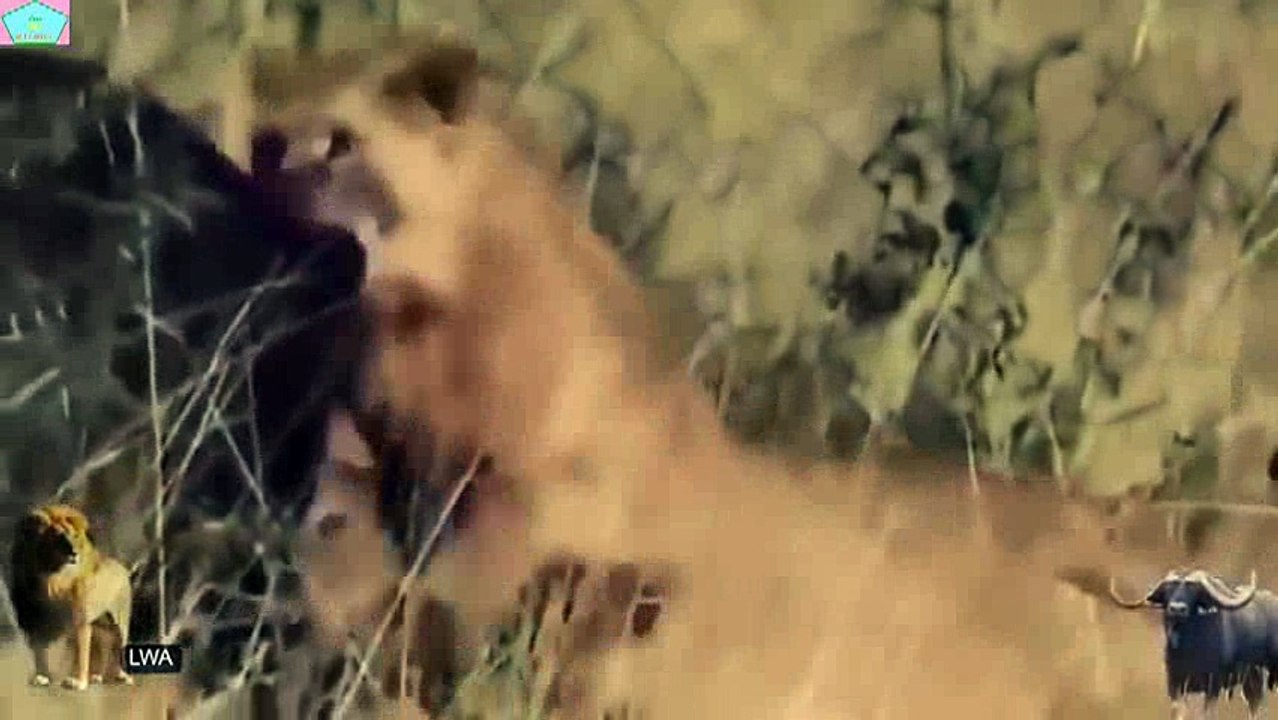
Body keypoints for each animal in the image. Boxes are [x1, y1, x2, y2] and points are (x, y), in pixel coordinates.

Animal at [8, 504, 133, 690]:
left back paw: (121, 676)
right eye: (59, 537)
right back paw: (97, 676)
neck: (52, 578)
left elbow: (80, 654)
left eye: (74, 536)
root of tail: (121, 566)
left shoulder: (79, 619)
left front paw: (78, 681)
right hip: (99, 625)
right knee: (104, 646)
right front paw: (42, 677)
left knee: (118, 648)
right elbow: (40, 653)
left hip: (119, 622)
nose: (74, 553)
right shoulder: (33, 621)